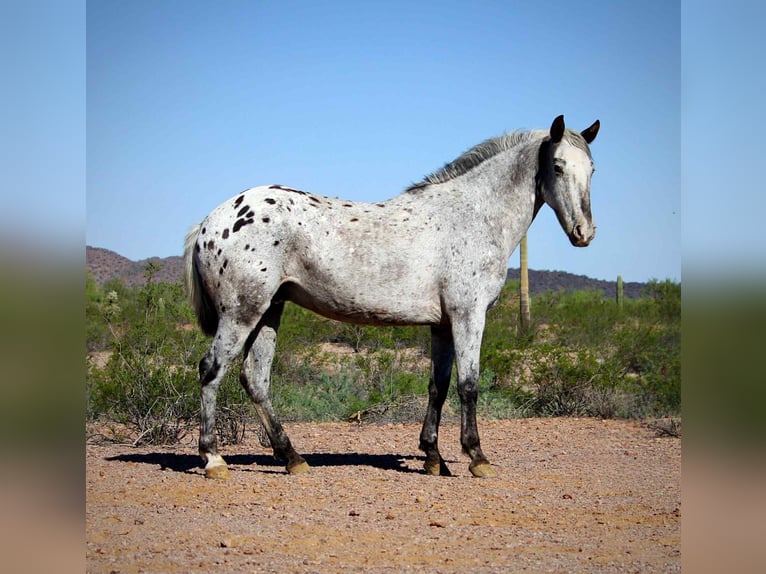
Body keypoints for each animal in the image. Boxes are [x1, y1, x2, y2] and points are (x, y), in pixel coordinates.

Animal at [184, 114, 599, 479]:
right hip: (241, 314)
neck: (472, 215)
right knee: (211, 370)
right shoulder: (468, 316)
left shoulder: (442, 325)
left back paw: (293, 459)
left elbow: (438, 387)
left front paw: (433, 458)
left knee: (255, 380)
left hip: (268, 312)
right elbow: (469, 385)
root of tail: (209, 222)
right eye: (558, 166)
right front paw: (476, 457)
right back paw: (214, 459)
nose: (584, 232)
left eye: (592, 169)